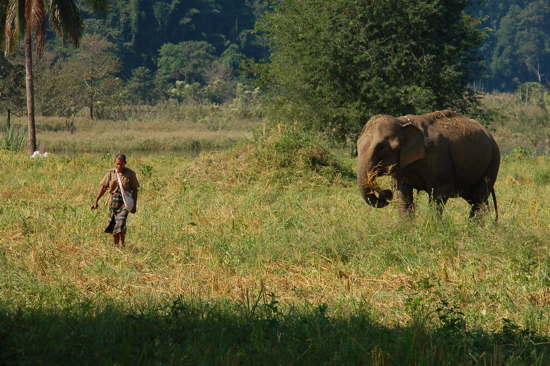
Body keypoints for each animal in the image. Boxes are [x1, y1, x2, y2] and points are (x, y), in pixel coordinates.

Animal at [360, 108, 502, 217]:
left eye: (381, 147)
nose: (384, 193)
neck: (403, 123)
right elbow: (401, 193)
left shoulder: (435, 155)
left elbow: (440, 190)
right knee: (476, 199)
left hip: (493, 161)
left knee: (478, 197)